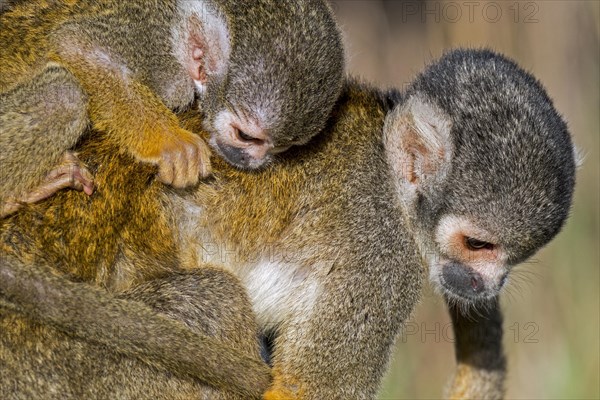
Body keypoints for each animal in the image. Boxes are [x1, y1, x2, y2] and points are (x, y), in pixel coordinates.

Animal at [0, 0, 344, 212]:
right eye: (246, 137)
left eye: (280, 148)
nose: (252, 161)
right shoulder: (159, 46)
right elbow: (78, 44)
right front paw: (170, 142)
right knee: (65, 95)